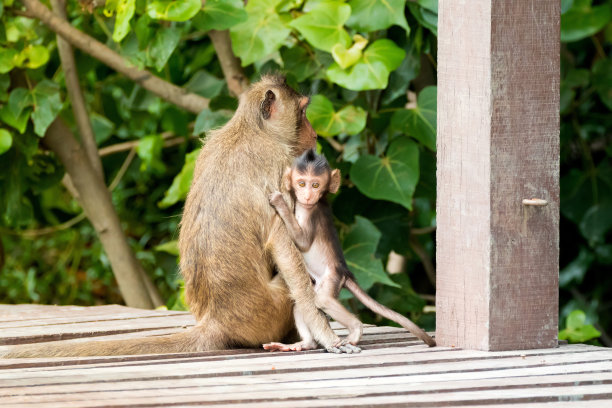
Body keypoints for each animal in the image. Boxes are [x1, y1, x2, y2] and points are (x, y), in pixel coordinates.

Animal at [2, 74, 346, 356]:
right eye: (303, 112)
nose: (315, 134)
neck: (251, 128)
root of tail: (217, 322)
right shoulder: (281, 166)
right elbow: (286, 247)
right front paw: (323, 332)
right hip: (269, 310)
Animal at [262, 148, 436, 352]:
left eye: (315, 184)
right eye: (302, 183)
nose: (307, 195)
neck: (313, 203)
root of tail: (345, 271)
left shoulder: (311, 213)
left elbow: (303, 242)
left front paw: (280, 203)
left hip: (332, 278)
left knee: (322, 300)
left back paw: (355, 330)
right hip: (322, 282)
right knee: (302, 304)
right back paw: (305, 343)